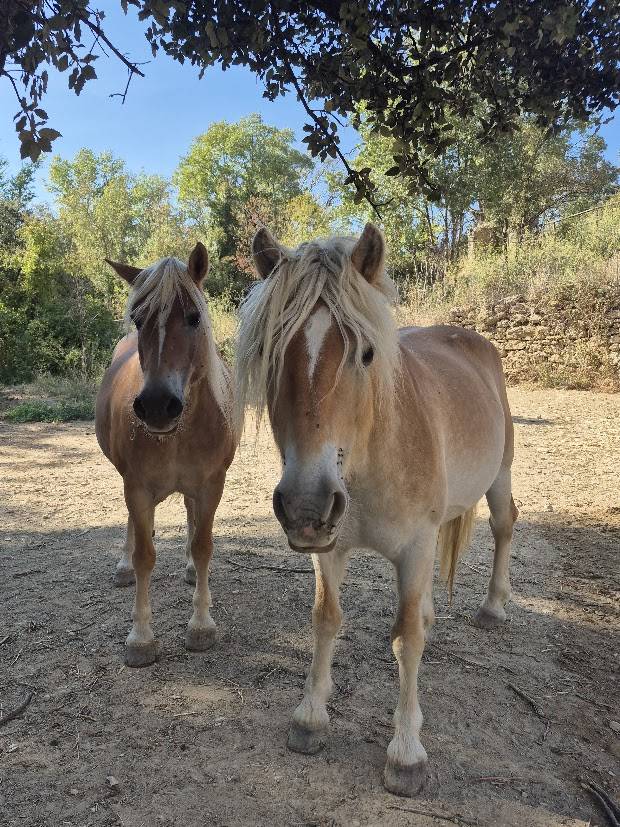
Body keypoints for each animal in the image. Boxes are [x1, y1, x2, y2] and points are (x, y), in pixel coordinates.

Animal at [95, 243, 235, 667]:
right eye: (139, 320)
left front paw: (201, 625)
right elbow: (146, 554)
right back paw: (123, 566)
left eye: (193, 317)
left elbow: (203, 546)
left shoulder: (211, 485)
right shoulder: (137, 487)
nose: (157, 405)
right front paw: (140, 638)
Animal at [235, 223, 518, 796]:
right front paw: (310, 717)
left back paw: (493, 607)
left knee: (504, 528)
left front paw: (406, 751)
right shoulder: (329, 548)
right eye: (272, 352)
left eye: (366, 353)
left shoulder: (414, 547)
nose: (305, 503)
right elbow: (326, 619)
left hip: (499, 478)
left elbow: (406, 638)